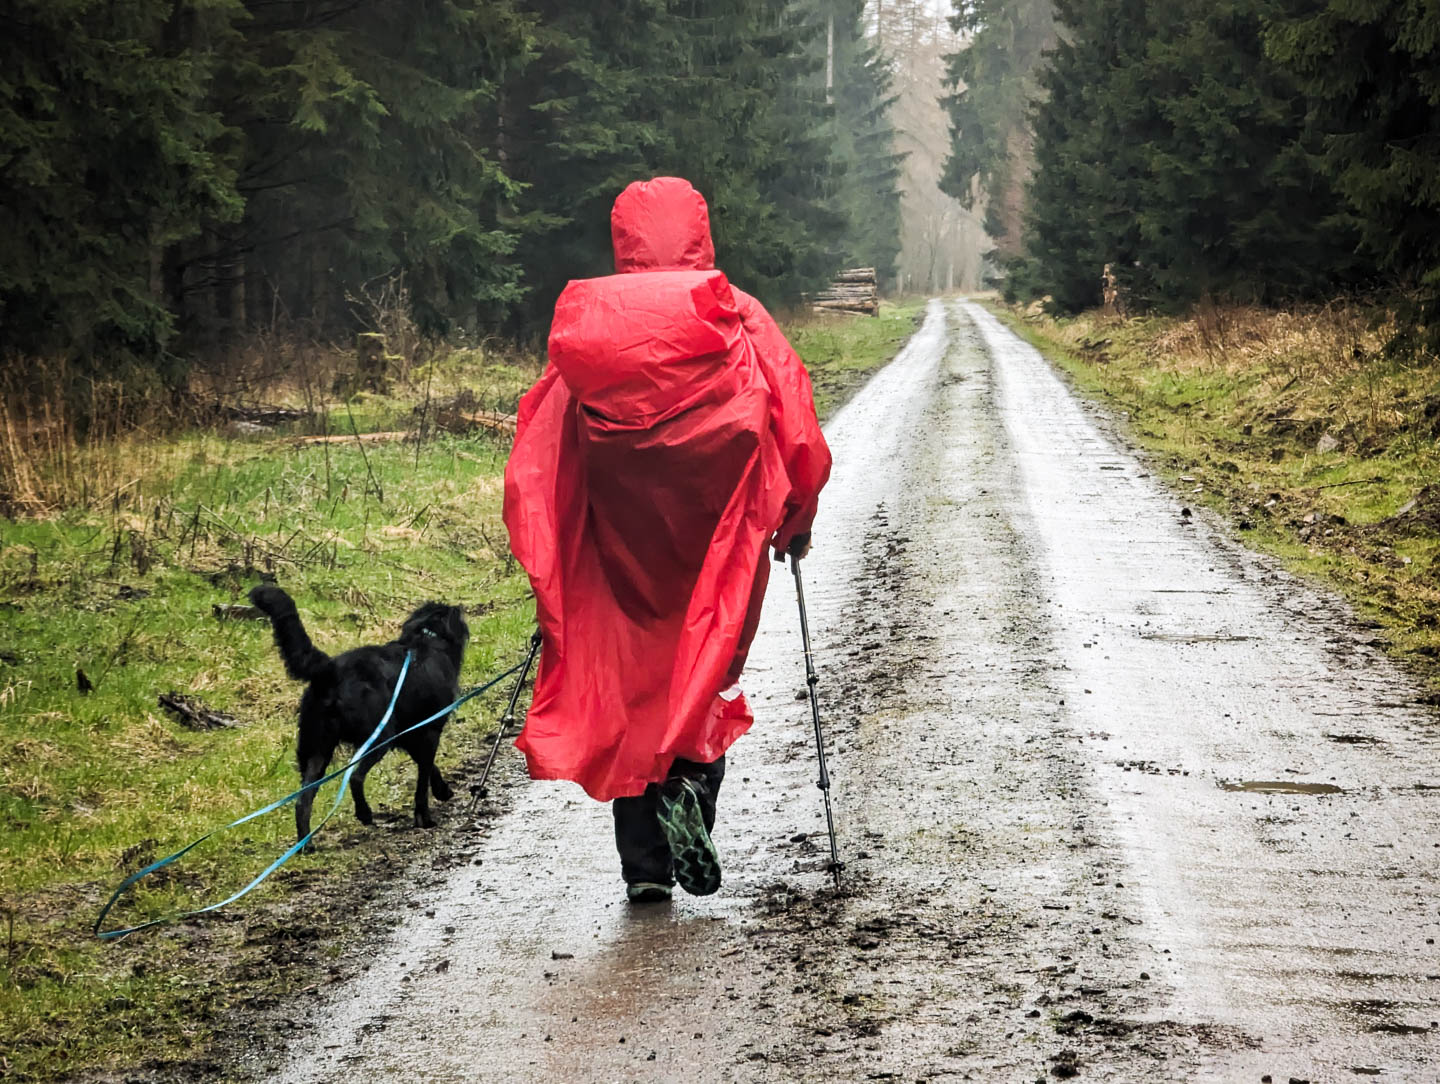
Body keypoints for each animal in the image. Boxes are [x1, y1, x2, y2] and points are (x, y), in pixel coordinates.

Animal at [250, 587, 469, 840]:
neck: (426, 639)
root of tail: (331, 670)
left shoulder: (410, 735)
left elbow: (430, 767)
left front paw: (443, 791)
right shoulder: (429, 731)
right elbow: (423, 779)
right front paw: (424, 817)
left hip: (316, 749)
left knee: (303, 801)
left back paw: (307, 843)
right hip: (378, 737)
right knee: (355, 777)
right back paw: (364, 813)